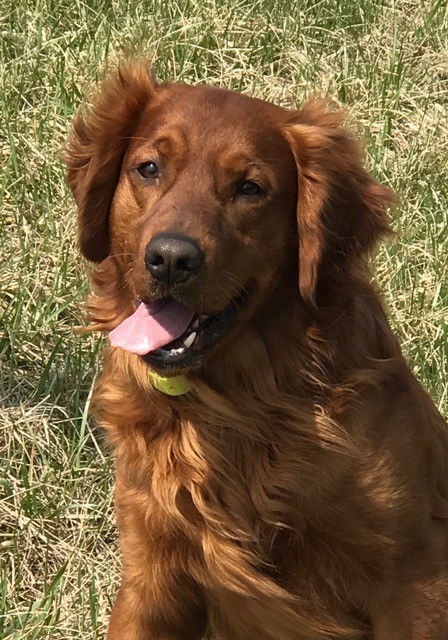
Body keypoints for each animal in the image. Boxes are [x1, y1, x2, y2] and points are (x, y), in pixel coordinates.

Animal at [65, 61, 448, 640]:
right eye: (148, 168)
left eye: (250, 188)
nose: (170, 258)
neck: (239, 406)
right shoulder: (152, 574)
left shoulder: (412, 576)